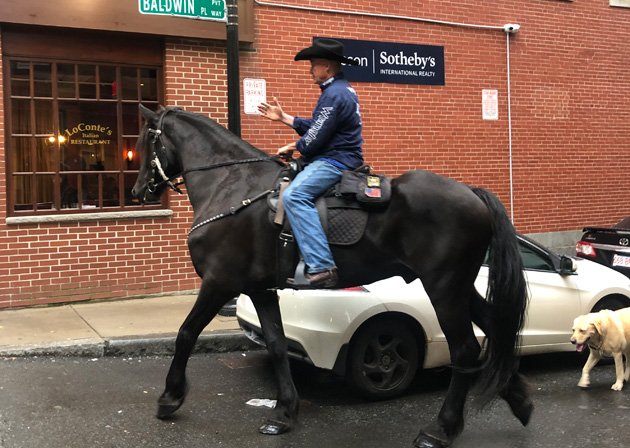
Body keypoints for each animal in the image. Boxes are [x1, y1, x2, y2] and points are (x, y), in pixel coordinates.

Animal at [132, 103, 532, 446]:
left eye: (143, 141)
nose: (137, 191)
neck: (232, 184)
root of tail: (473, 193)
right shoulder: (261, 290)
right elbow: (276, 345)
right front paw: (284, 413)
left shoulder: (219, 283)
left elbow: (186, 334)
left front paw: (170, 397)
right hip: (459, 286)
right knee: (495, 327)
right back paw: (520, 399)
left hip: (444, 289)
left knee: (465, 350)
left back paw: (441, 429)